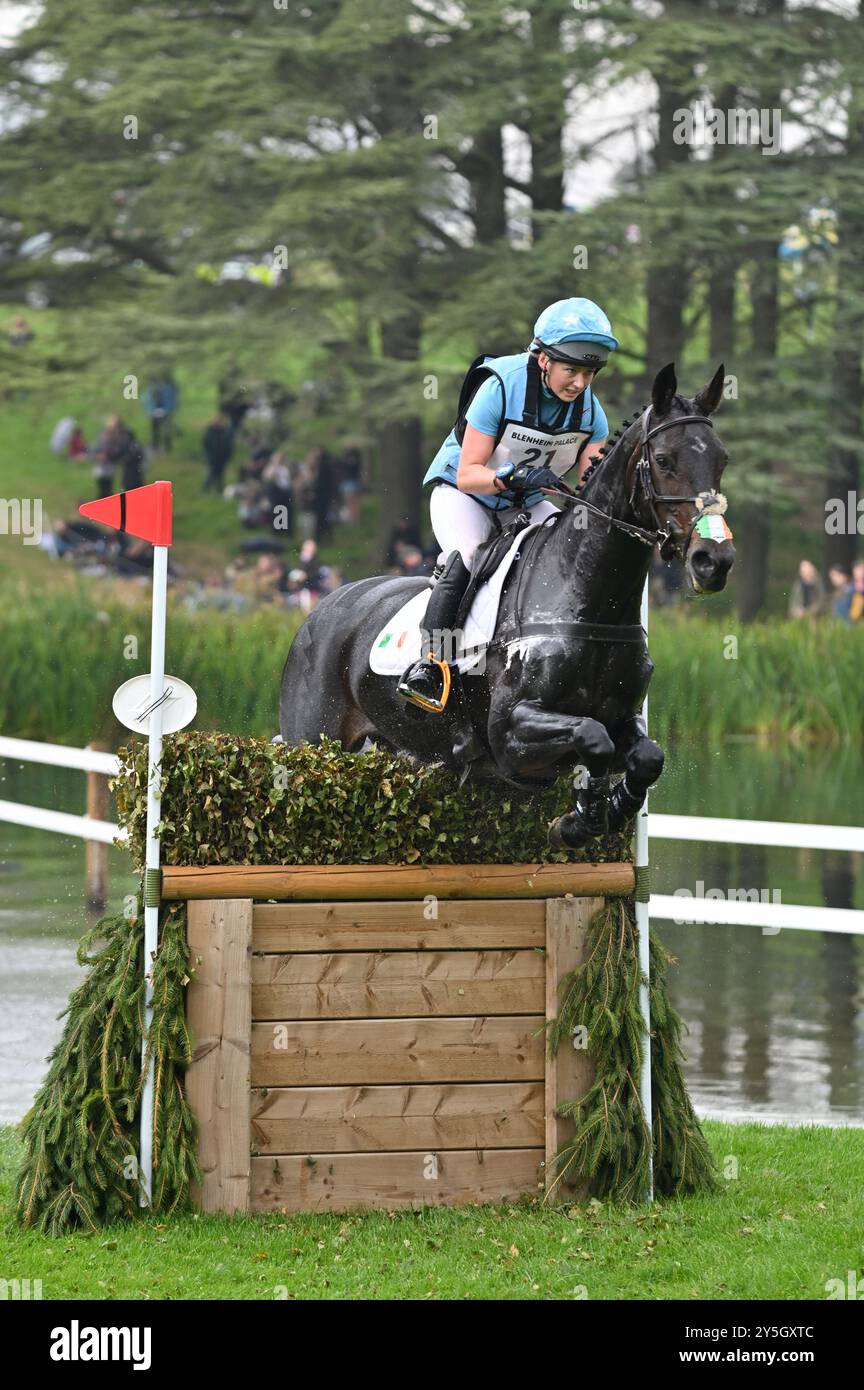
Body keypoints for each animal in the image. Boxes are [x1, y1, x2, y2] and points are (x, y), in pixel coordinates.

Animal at [280, 366, 733, 845]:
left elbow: (648, 757)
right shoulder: (510, 734)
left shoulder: (623, 718)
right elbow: (592, 737)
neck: (584, 598)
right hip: (312, 739)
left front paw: (596, 814)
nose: (714, 561)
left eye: (722, 460)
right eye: (664, 460)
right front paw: (580, 820)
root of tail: (320, 610)